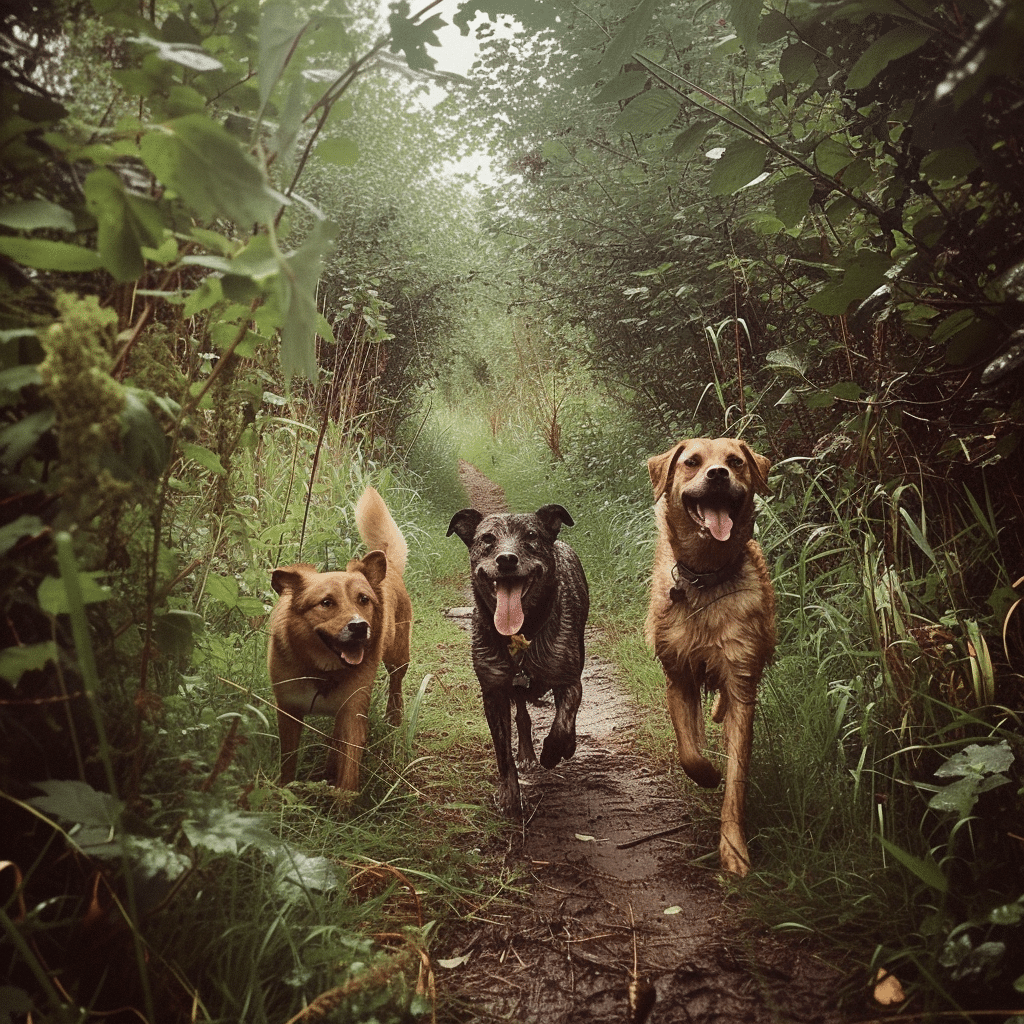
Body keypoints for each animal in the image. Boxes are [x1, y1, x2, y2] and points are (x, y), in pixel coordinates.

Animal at [268, 485, 411, 790]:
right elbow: (288, 764)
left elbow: (348, 776)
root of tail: (388, 565)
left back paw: (394, 717)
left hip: (398, 655)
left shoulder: (353, 713)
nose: (359, 627)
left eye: (363, 599)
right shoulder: (288, 711)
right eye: (326, 603)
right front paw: (285, 791)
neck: (323, 671)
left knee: (396, 682)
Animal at [446, 505, 589, 815]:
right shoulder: (494, 693)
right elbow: (503, 754)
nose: (507, 559)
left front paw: (556, 750)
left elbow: (563, 723)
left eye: (531, 536)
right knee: (522, 716)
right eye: (487, 538)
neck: (520, 634)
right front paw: (509, 795)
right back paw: (526, 753)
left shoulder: (569, 680)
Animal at [647, 436, 774, 876]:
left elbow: (736, 779)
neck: (705, 579)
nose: (717, 474)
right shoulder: (677, 678)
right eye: (692, 462)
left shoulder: (741, 681)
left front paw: (733, 851)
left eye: (735, 461)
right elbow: (689, 751)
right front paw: (706, 774)